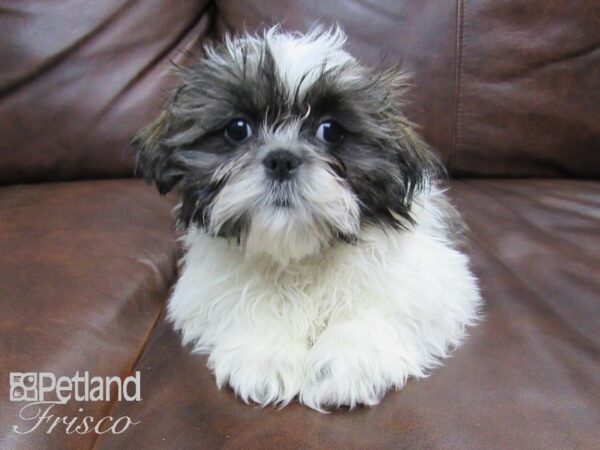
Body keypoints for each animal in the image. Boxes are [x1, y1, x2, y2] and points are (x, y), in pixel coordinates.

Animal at [134, 25, 480, 412]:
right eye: (238, 129)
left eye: (330, 131)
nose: (281, 159)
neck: (300, 255)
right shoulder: (202, 289)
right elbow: (246, 299)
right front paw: (265, 357)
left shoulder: (434, 280)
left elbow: (378, 305)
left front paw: (346, 365)